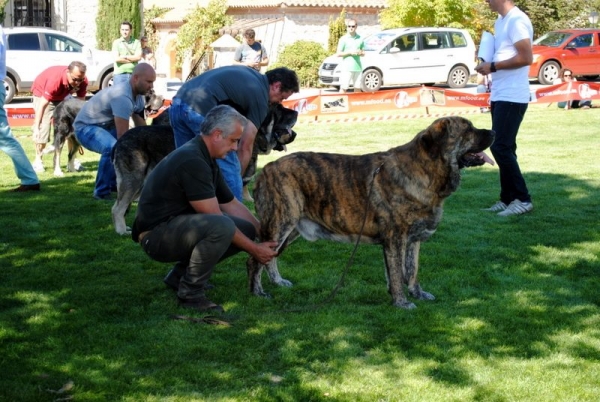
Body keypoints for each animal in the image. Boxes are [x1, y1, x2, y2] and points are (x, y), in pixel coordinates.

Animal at [246, 116, 494, 310]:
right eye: (468, 130)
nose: (492, 131)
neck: (425, 170)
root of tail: (266, 169)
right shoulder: (395, 238)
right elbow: (397, 273)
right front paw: (402, 302)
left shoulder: (413, 240)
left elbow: (412, 270)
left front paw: (417, 294)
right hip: (280, 224)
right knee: (255, 259)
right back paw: (257, 293)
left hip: (290, 230)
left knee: (269, 257)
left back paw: (278, 282)